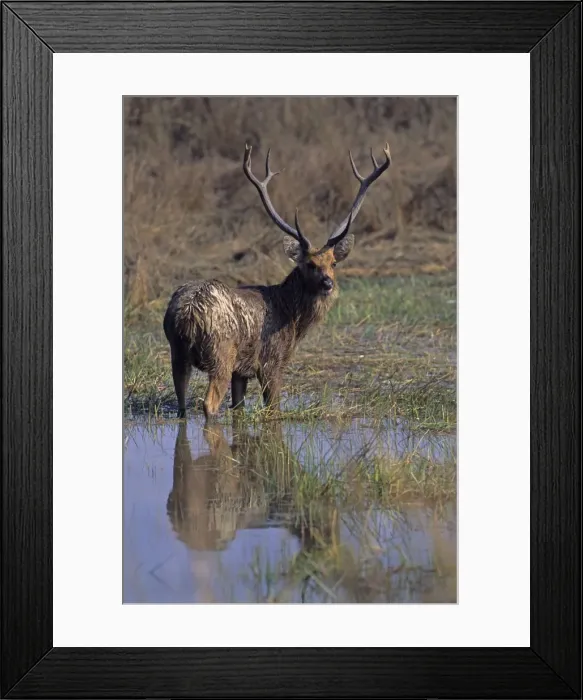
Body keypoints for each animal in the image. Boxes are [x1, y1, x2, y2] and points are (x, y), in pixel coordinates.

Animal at [163, 141, 392, 419]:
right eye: (309, 264)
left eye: (334, 263)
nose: (328, 284)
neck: (292, 317)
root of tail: (187, 314)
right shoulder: (271, 361)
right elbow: (273, 408)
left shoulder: (242, 370)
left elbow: (239, 407)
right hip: (220, 353)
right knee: (209, 403)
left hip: (177, 351)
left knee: (182, 403)